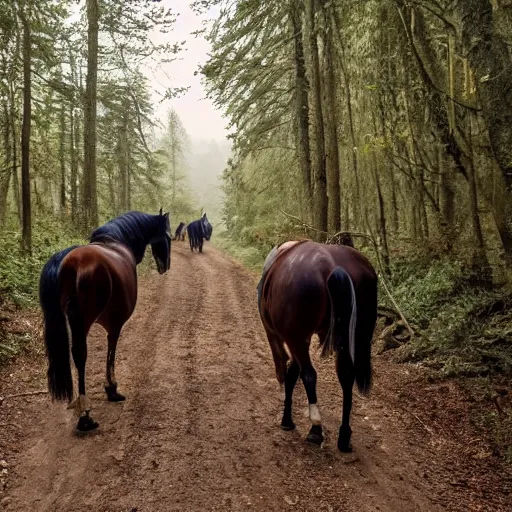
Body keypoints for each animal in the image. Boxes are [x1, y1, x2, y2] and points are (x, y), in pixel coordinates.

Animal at [39, 209, 172, 432]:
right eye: (168, 237)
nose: (166, 266)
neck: (116, 240)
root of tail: (69, 263)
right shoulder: (115, 323)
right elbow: (111, 350)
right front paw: (112, 388)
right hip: (81, 321)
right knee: (80, 355)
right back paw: (85, 416)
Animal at [258, 240, 378, 452]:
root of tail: (333, 266)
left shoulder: (290, 338)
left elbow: (290, 373)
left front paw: (287, 419)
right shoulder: (298, 340)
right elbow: (292, 374)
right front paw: (287, 418)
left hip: (296, 338)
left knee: (309, 375)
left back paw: (316, 427)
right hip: (350, 336)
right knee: (346, 376)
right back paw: (344, 435)